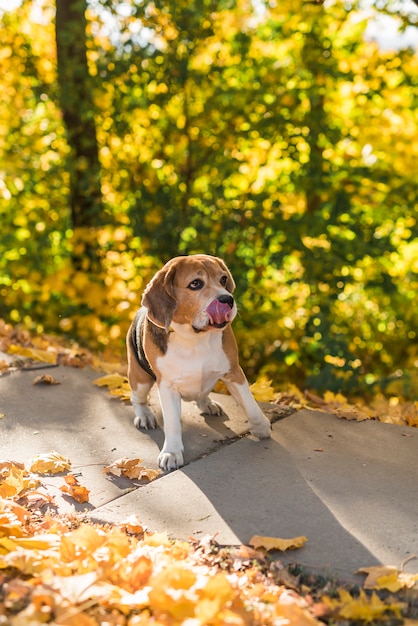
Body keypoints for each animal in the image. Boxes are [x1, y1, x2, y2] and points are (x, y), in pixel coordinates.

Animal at [126, 254, 272, 468]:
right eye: (195, 283)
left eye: (223, 279)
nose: (227, 299)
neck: (194, 338)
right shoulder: (166, 386)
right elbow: (172, 423)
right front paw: (171, 452)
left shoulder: (233, 371)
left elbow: (250, 403)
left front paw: (261, 427)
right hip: (140, 378)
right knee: (137, 399)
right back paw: (144, 416)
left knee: (202, 395)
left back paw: (208, 403)